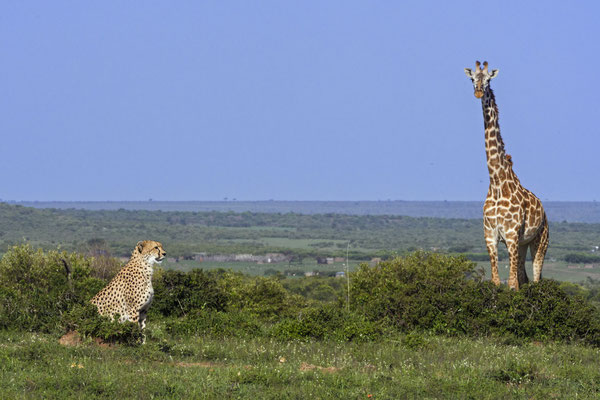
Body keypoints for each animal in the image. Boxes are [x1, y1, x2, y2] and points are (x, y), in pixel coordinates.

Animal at [464, 60, 548, 290]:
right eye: (472, 79)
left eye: (488, 80)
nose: (478, 92)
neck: (497, 181)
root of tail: (545, 213)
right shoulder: (490, 235)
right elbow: (496, 281)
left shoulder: (511, 235)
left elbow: (512, 285)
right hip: (523, 243)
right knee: (524, 277)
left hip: (540, 241)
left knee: (535, 279)